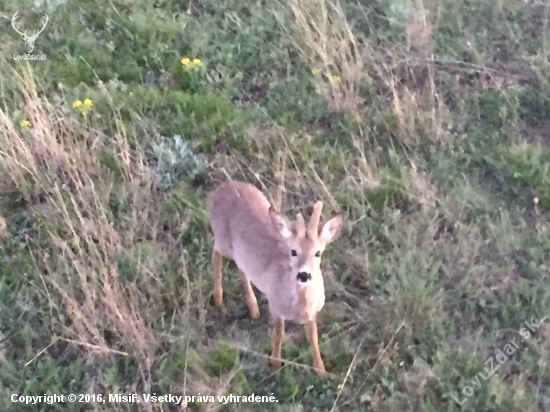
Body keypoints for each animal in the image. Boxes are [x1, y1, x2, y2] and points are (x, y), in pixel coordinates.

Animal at [208, 181, 344, 376]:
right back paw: (218, 298)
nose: (304, 274)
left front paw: (321, 370)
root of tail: (221, 188)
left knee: (242, 269)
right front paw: (276, 364)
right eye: (293, 251)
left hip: (240, 253)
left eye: (318, 252)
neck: (300, 305)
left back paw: (254, 309)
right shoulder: (275, 306)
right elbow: (279, 334)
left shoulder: (312, 313)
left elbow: (314, 338)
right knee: (215, 254)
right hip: (222, 239)